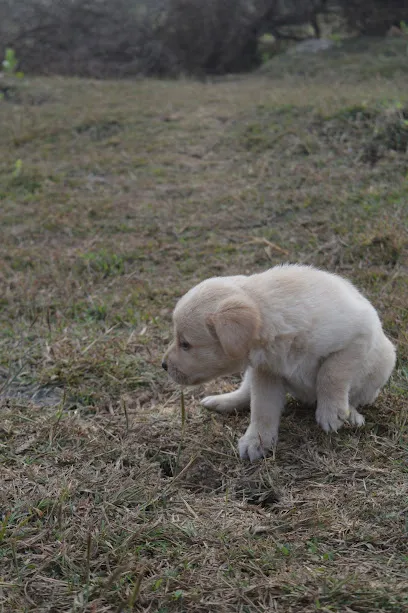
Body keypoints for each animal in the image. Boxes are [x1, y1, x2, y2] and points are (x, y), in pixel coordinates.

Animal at [162, 262, 396, 460]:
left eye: (185, 344)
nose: (163, 365)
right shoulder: (265, 371)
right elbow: (262, 408)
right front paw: (256, 441)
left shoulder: (356, 338)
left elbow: (331, 374)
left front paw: (331, 412)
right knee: (246, 392)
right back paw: (223, 401)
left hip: (381, 367)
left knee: (357, 397)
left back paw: (352, 415)